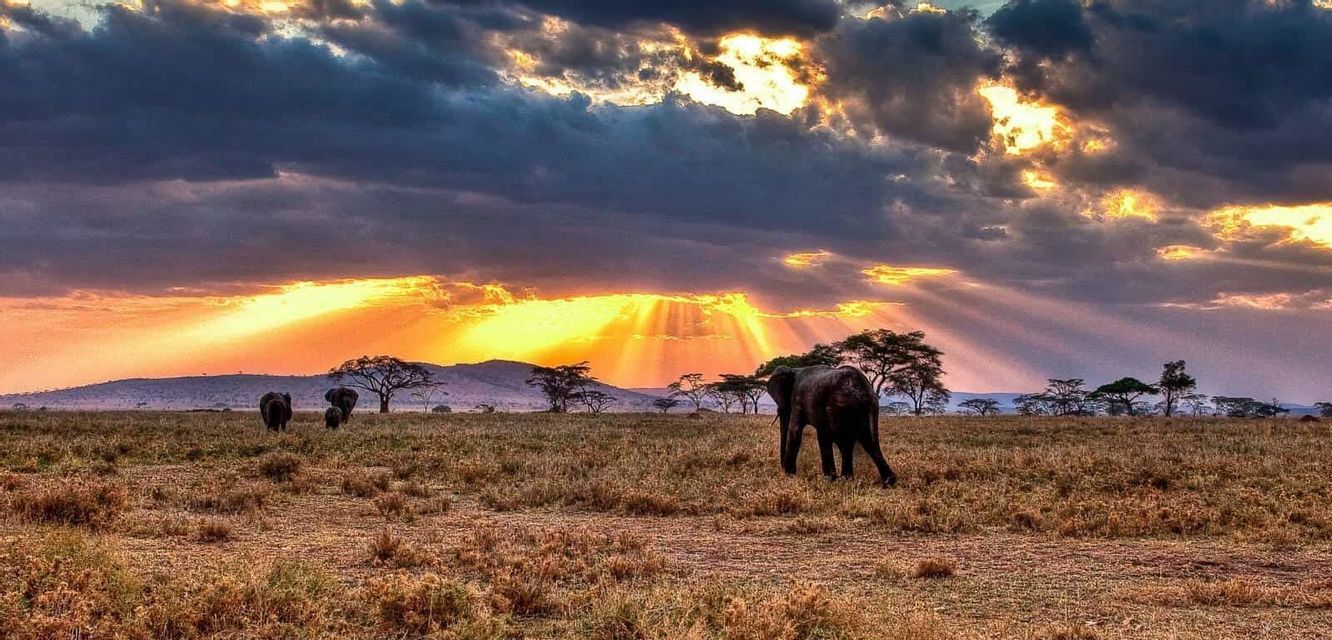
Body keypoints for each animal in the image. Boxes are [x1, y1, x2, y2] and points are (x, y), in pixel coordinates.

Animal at [766, 365, 896, 487]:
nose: (782, 468)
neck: (793, 370)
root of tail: (865, 389)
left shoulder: (797, 400)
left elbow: (794, 432)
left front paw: (789, 476)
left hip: (840, 406)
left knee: (836, 438)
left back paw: (835, 480)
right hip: (861, 410)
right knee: (866, 440)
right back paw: (883, 481)